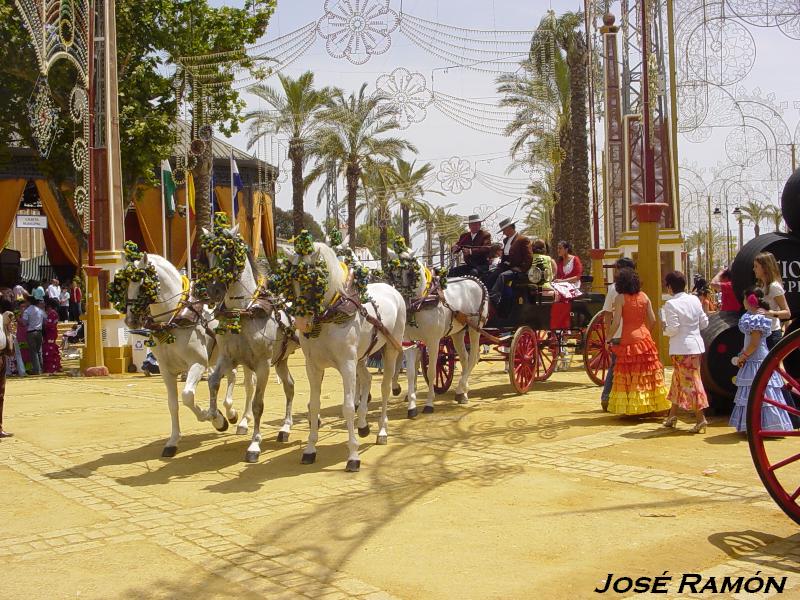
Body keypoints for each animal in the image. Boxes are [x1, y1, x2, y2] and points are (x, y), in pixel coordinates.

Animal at [121, 251, 241, 458]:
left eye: (143, 283)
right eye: (126, 283)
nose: (131, 320)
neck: (173, 318)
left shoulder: (198, 364)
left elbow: (187, 396)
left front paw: (214, 418)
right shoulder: (165, 370)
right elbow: (173, 404)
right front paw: (173, 441)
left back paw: (240, 420)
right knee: (230, 376)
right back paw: (230, 412)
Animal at [202, 223, 298, 462]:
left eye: (229, 253)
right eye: (207, 254)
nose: (213, 291)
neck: (244, 311)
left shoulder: (263, 365)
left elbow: (257, 405)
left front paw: (254, 444)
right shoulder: (228, 358)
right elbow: (213, 383)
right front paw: (221, 419)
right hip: (281, 359)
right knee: (290, 386)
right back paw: (285, 427)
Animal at [284, 241, 406, 472]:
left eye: (313, 280)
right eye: (291, 279)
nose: (302, 323)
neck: (328, 317)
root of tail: (392, 290)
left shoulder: (347, 364)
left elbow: (348, 407)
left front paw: (353, 456)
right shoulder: (313, 366)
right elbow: (314, 406)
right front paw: (310, 450)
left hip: (390, 349)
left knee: (385, 388)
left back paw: (381, 431)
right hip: (361, 357)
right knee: (367, 378)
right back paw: (363, 425)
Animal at [386, 251, 490, 414]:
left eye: (411, 273)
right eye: (392, 274)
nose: (403, 304)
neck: (422, 300)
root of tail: (476, 281)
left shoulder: (433, 341)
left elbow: (431, 372)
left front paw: (429, 403)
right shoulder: (410, 341)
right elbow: (411, 373)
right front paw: (412, 405)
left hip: (475, 328)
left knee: (473, 357)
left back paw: (462, 387)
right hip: (458, 333)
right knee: (465, 358)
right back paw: (462, 392)